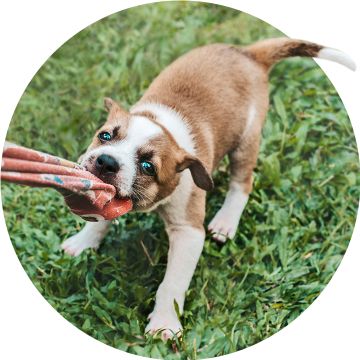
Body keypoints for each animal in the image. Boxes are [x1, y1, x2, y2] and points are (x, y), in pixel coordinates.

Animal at [61, 38, 354, 338]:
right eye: (105, 135)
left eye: (147, 166)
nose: (106, 162)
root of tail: (248, 54)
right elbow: (100, 219)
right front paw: (83, 242)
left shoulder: (188, 232)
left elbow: (173, 282)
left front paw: (164, 324)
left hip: (246, 141)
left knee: (242, 183)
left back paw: (226, 220)